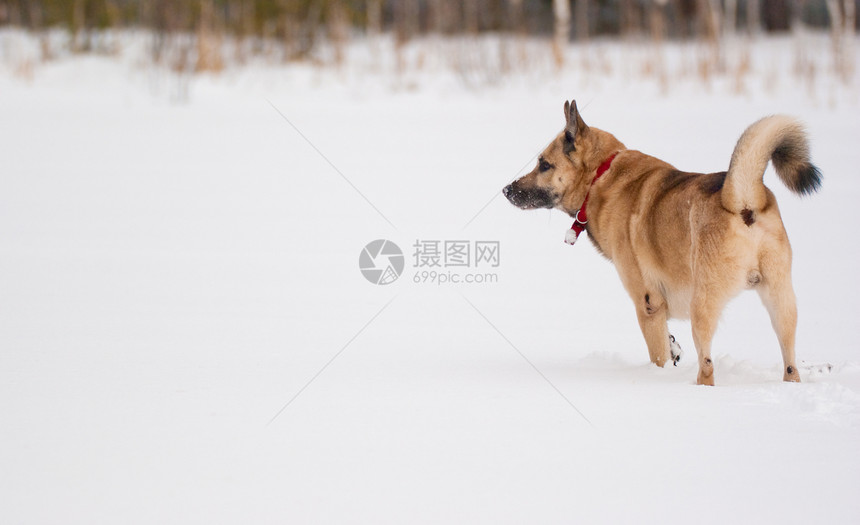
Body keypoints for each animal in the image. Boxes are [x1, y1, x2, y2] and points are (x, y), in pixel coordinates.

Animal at [504, 99, 820, 384]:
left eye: (544, 164)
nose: (507, 190)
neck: (601, 176)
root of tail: (742, 200)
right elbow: (670, 343)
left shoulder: (648, 304)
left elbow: (658, 355)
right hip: (781, 302)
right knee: (790, 365)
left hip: (702, 305)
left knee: (707, 366)